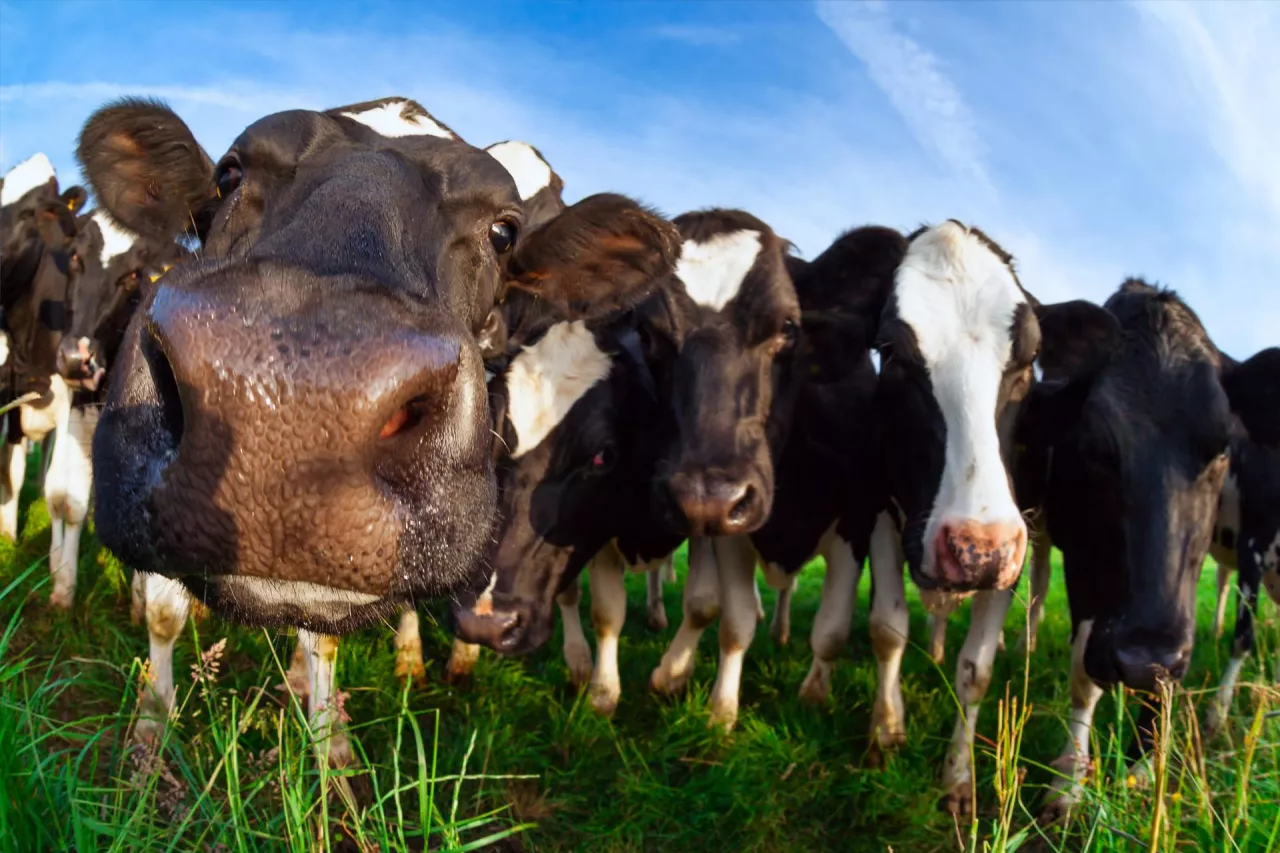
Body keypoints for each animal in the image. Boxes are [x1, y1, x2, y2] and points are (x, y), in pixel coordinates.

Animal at [76, 95, 531, 764]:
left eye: (503, 232)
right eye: (229, 175)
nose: (291, 404)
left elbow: (324, 640)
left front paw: (332, 750)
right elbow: (163, 616)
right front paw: (150, 733)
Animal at [1015, 280, 1277, 820]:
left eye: (1223, 449)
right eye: (1090, 445)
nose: (1141, 660)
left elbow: (1179, 675)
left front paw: (1144, 763)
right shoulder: (1081, 559)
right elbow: (1082, 672)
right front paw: (1069, 781)